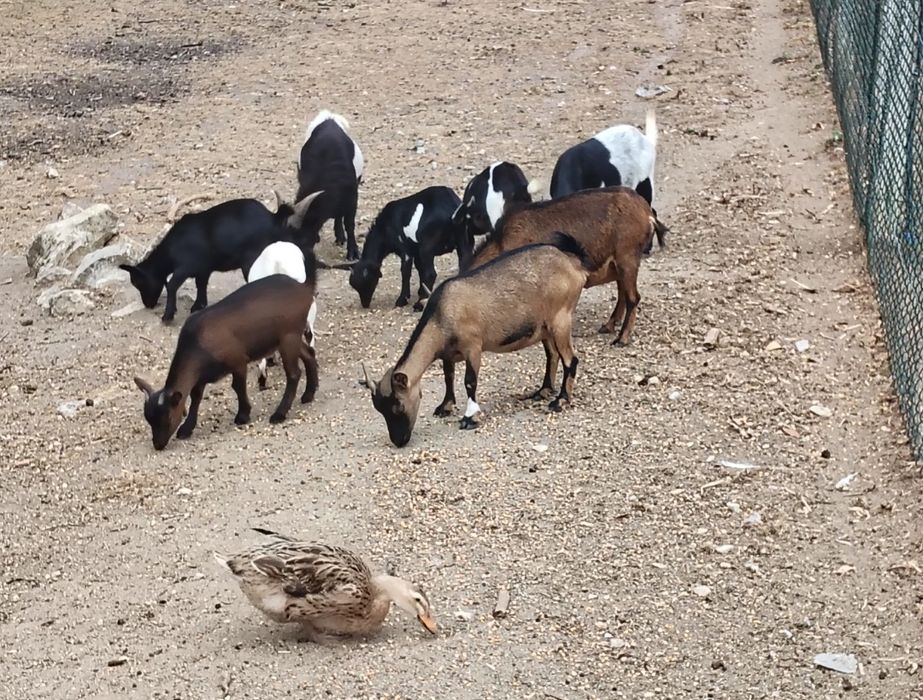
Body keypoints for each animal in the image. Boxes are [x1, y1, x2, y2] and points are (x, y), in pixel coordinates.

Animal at [120, 192, 322, 323]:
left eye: (138, 282)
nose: (148, 305)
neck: (172, 249)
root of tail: (273, 219)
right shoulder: (203, 269)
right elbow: (200, 285)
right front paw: (198, 306)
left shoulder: (185, 267)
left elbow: (172, 285)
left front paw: (168, 315)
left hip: (251, 261)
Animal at [133, 262, 319, 450]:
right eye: (149, 420)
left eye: (167, 418)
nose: (158, 444)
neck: (198, 344)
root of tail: (304, 287)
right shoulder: (200, 377)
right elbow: (196, 397)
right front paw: (186, 429)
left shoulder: (238, 360)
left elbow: (237, 387)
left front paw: (242, 416)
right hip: (290, 337)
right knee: (309, 354)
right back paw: (308, 395)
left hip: (288, 336)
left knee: (294, 373)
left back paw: (279, 414)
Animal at [363, 234, 593, 447]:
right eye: (380, 410)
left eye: (398, 407)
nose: (399, 440)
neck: (442, 315)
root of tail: (573, 265)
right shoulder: (448, 354)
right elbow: (448, 376)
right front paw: (445, 406)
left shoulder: (473, 347)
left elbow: (470, 381)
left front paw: (470, 417)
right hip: (544, 327)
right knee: (552, 354)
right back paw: (543, 391)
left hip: (561, 319)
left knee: (571, 360)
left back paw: (560, 400)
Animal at [466, 186, 667, 346]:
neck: (504, 242)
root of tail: (647, 213)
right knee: (623, 294)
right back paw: (608, 326)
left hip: (627, 258)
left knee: (633, 297)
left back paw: (621, 339)